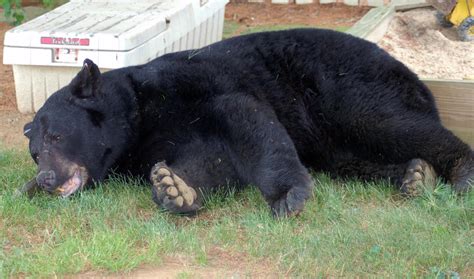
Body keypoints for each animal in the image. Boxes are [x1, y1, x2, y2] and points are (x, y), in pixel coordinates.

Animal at [22, 28, 474, 218]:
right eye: (35, 152)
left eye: (58, 135)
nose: (45, 178)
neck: (138, 117)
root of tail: (415, 76)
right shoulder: (160, 139)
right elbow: (209, 160)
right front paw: (175, 189)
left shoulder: (193, 85)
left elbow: (246, 117)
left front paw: (288, 195)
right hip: (334, 140)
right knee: (351, 159)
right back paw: (413, 175)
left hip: (344, 89)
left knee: (385, 122)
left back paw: (461, 171)